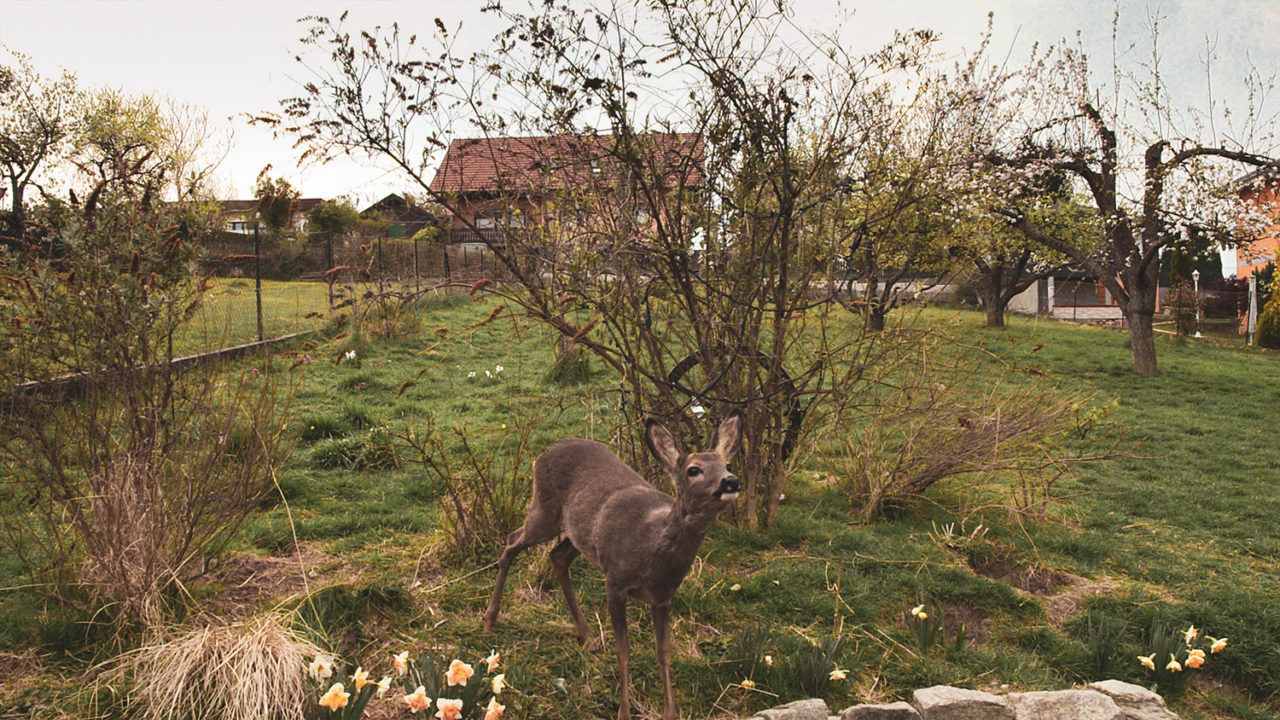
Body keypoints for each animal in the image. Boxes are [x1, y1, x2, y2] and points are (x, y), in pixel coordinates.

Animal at [481, 412, 747, 712]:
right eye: (694, 470)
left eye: (727, 464)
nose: (730, 481)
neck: (652, 552)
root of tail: (545, 451)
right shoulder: (615, 583)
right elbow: (624, 652)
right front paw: (624, 711)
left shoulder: (663, 597)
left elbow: (663, 652)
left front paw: (670, 711)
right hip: (543, 511)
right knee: (511, 542)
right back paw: (490, 620)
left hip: (577, 533)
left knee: (557, 556)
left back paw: (587, 637)